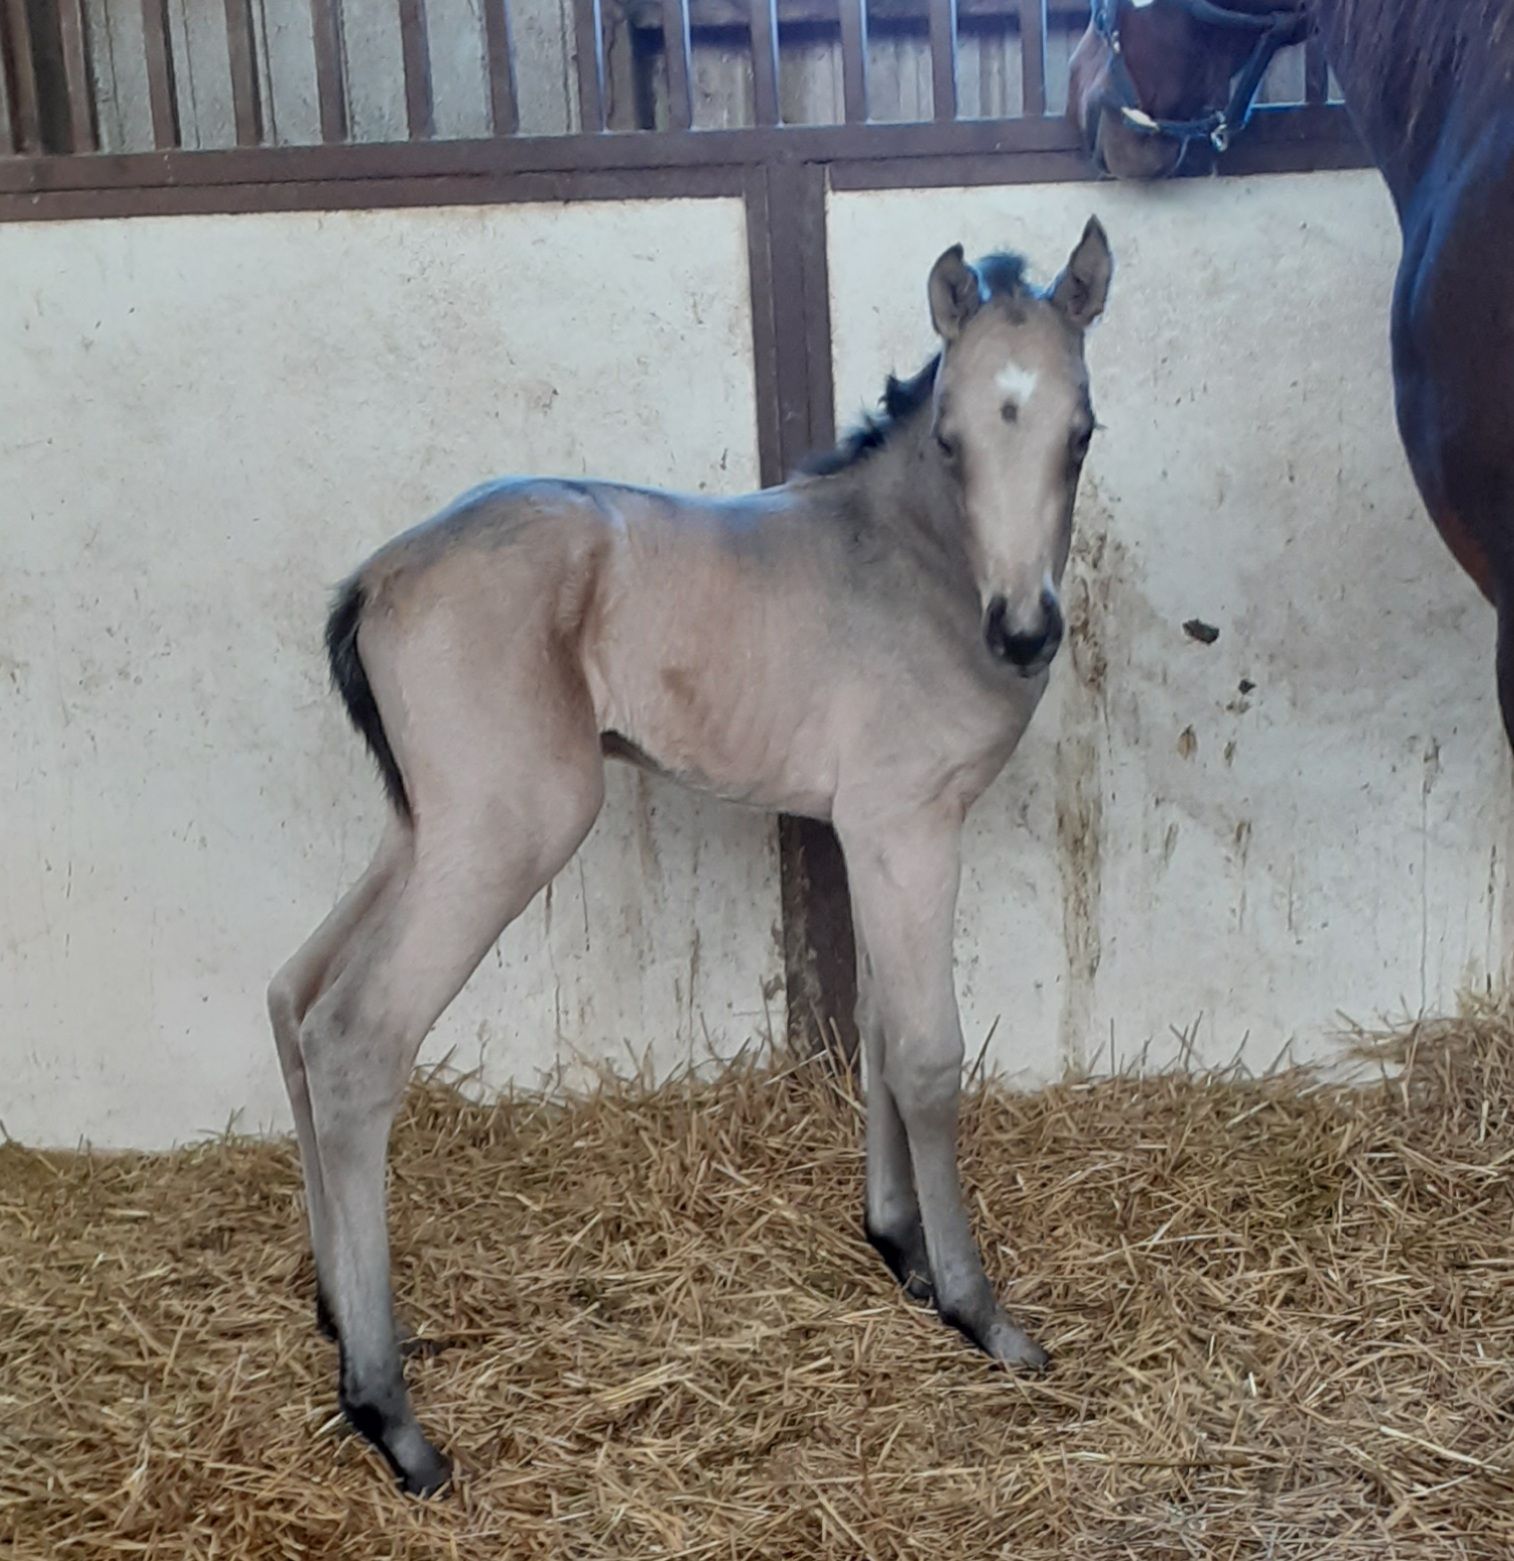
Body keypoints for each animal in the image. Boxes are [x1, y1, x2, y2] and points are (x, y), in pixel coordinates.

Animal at [267, 221, 1114, 1493]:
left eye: (1081, 428)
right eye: (952, 439)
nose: (1021, 630)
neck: (912, 561)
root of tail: (380, 575)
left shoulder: (866, 831)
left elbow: (872, 1020)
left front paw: (899, 1249)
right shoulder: (906, 823)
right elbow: (924, 1054)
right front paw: (977, 1310)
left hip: (425, 825)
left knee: (295, 992)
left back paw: (338, 1315)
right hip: (510, 826)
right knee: (356, 1037)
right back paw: (389, 1414)